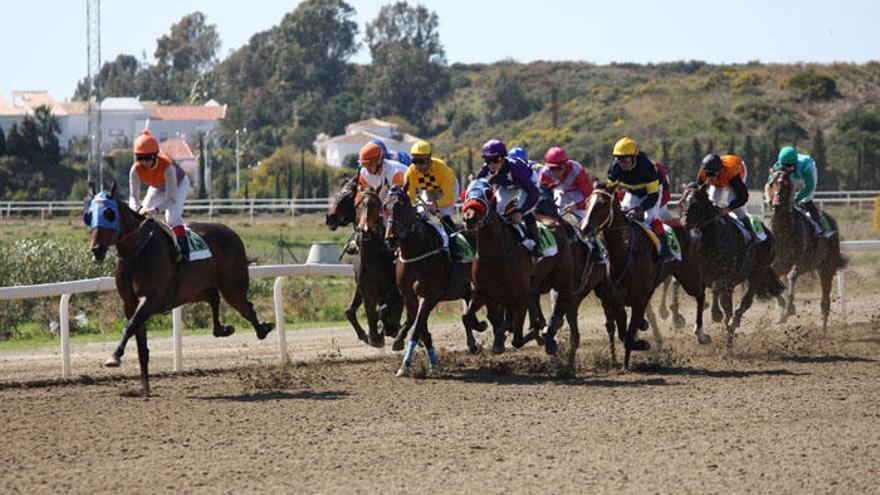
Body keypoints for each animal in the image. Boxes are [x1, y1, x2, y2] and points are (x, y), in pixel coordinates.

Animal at [86, 182, 274, 396]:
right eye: (90, 214)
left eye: (109, 214)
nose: (97, 249)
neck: (137, 252)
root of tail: (230, 231)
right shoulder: (129, 303)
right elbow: (140, 342)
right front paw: (145, 388)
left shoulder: (150, 299)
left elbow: (130, 326)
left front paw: (114, 357)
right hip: (196, 288)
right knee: (213, 298)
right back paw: (222, 329)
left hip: (232, 286)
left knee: (246, 307)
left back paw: (263, 329)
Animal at [384, 185, 498, 376]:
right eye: (384, 206)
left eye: (402, 206)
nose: (391, 239)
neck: (416, 252)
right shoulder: (409, 296)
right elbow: (421, 328)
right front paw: (433, 362)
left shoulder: (429, 296)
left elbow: (417, 327)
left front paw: (405, 365)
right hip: (465, 286)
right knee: (468, 309)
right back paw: (474, 337)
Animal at [576, 182, 708, 368]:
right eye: (587, 202)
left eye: (602, 204)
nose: (584, 229)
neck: (623, 253)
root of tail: (683, 225)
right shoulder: (614, 299)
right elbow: (622, 332)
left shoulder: (638, 298)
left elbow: (629, 332)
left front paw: (629, 359)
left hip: (689, 275)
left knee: (700, 294)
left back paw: (701, 334)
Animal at [676, 181, 788, 344]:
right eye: (680, 202)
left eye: (696, 203)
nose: (683, 225)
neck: (711, 238)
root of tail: (768, 232)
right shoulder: (701, 275)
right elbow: (699, 296)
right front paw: (699, 332)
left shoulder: (728, 276)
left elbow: (716, 288)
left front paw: (716, 314)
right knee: (728, 306)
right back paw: (729, 337)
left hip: (758, 273)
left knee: (745, 301)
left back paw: (734, 321)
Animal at [764, 171, 844, 334]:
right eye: (772, 183)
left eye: (786, 185)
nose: (776, 204)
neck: (783, 232)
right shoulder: (778, 264)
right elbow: (773, 282)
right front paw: (783, 312)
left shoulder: (802, 260)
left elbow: (792, 276)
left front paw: (789, 309)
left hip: (827, 267)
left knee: (825, 302)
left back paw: (824, 332)